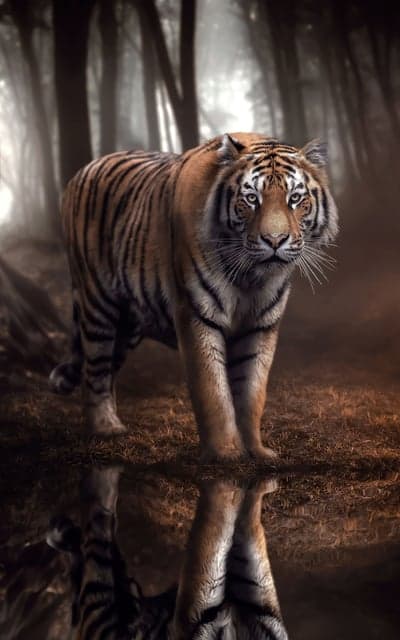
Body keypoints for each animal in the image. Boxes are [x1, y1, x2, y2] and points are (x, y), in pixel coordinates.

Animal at [49, 132, 338, 462]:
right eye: (252, 198)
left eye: (295, 199)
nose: (274, 241)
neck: (250, 278)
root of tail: (82, 170)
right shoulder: (196, 315)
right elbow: (213, 390)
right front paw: (226, 454)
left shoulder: (261, 326)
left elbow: (252, 392)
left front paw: (256, 451)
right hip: (98, 303)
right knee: (94, 371)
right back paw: (105, 428)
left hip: (129, 324)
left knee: (108, 369)